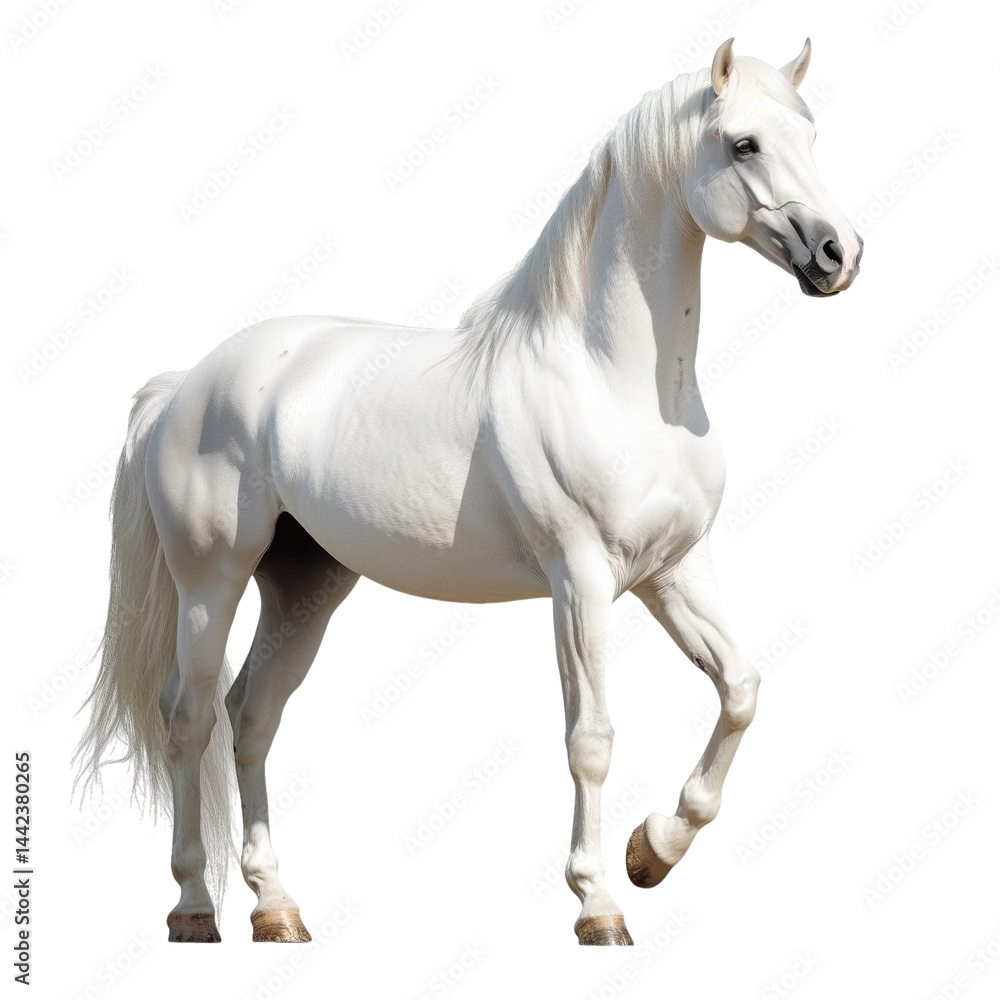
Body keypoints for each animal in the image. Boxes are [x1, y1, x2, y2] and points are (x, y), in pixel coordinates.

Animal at [75, 38, 862, 947]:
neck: (612, 378)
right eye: (743, 144)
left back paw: (276, 908)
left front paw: (653, 851)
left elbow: (740, 691)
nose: (840, 255)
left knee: (251, 717)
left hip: (304, 587)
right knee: (189, 717)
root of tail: (184, 386)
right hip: (212, 581)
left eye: (811, 134)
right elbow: (591, 737)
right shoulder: (581, 580)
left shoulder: (674, 572)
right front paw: (599, 905)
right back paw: (195, 908)